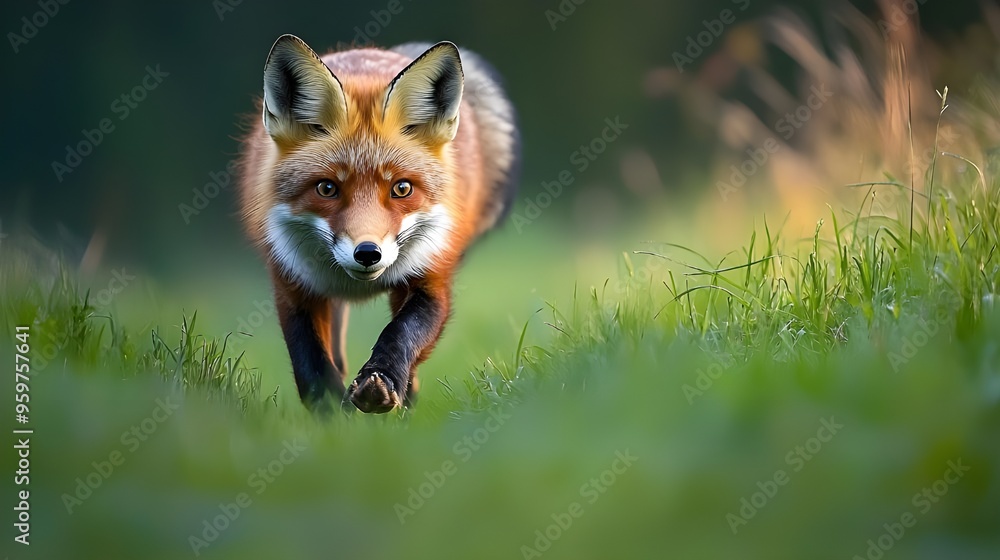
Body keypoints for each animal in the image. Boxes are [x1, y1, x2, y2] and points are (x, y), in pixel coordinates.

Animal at [238, 35, 520, 414]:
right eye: (327, 188)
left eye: (401, 188)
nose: (368, 253)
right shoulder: (293, 285)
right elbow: (311, 364)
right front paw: (332, 414)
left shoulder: (432, 278)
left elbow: (402, 334)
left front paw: (381, 383)